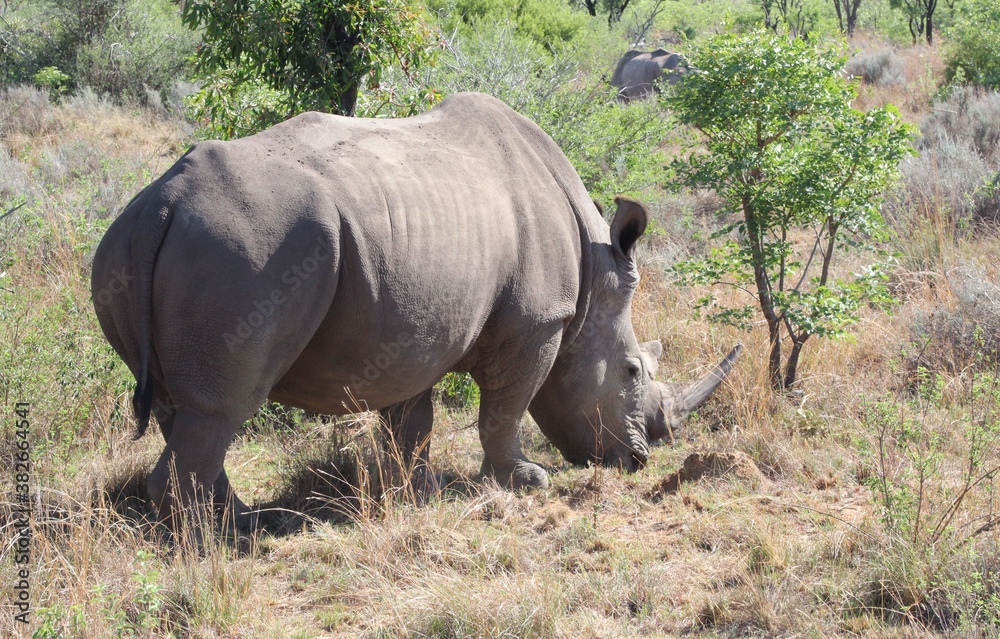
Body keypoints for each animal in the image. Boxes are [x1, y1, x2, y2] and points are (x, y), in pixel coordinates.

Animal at [91, 92, 739, 531]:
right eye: (631, 371)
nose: (639, 458)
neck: (590, 278)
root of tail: (163, 204)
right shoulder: (538, 322)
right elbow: (505, 409)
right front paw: (526, 481)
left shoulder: (415, 325)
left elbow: (412, 419)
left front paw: (415, 489)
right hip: (243, 251)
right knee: (224, 406)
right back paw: (220, 543)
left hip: (121, 251)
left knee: (186, 409)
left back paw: (246, 519)